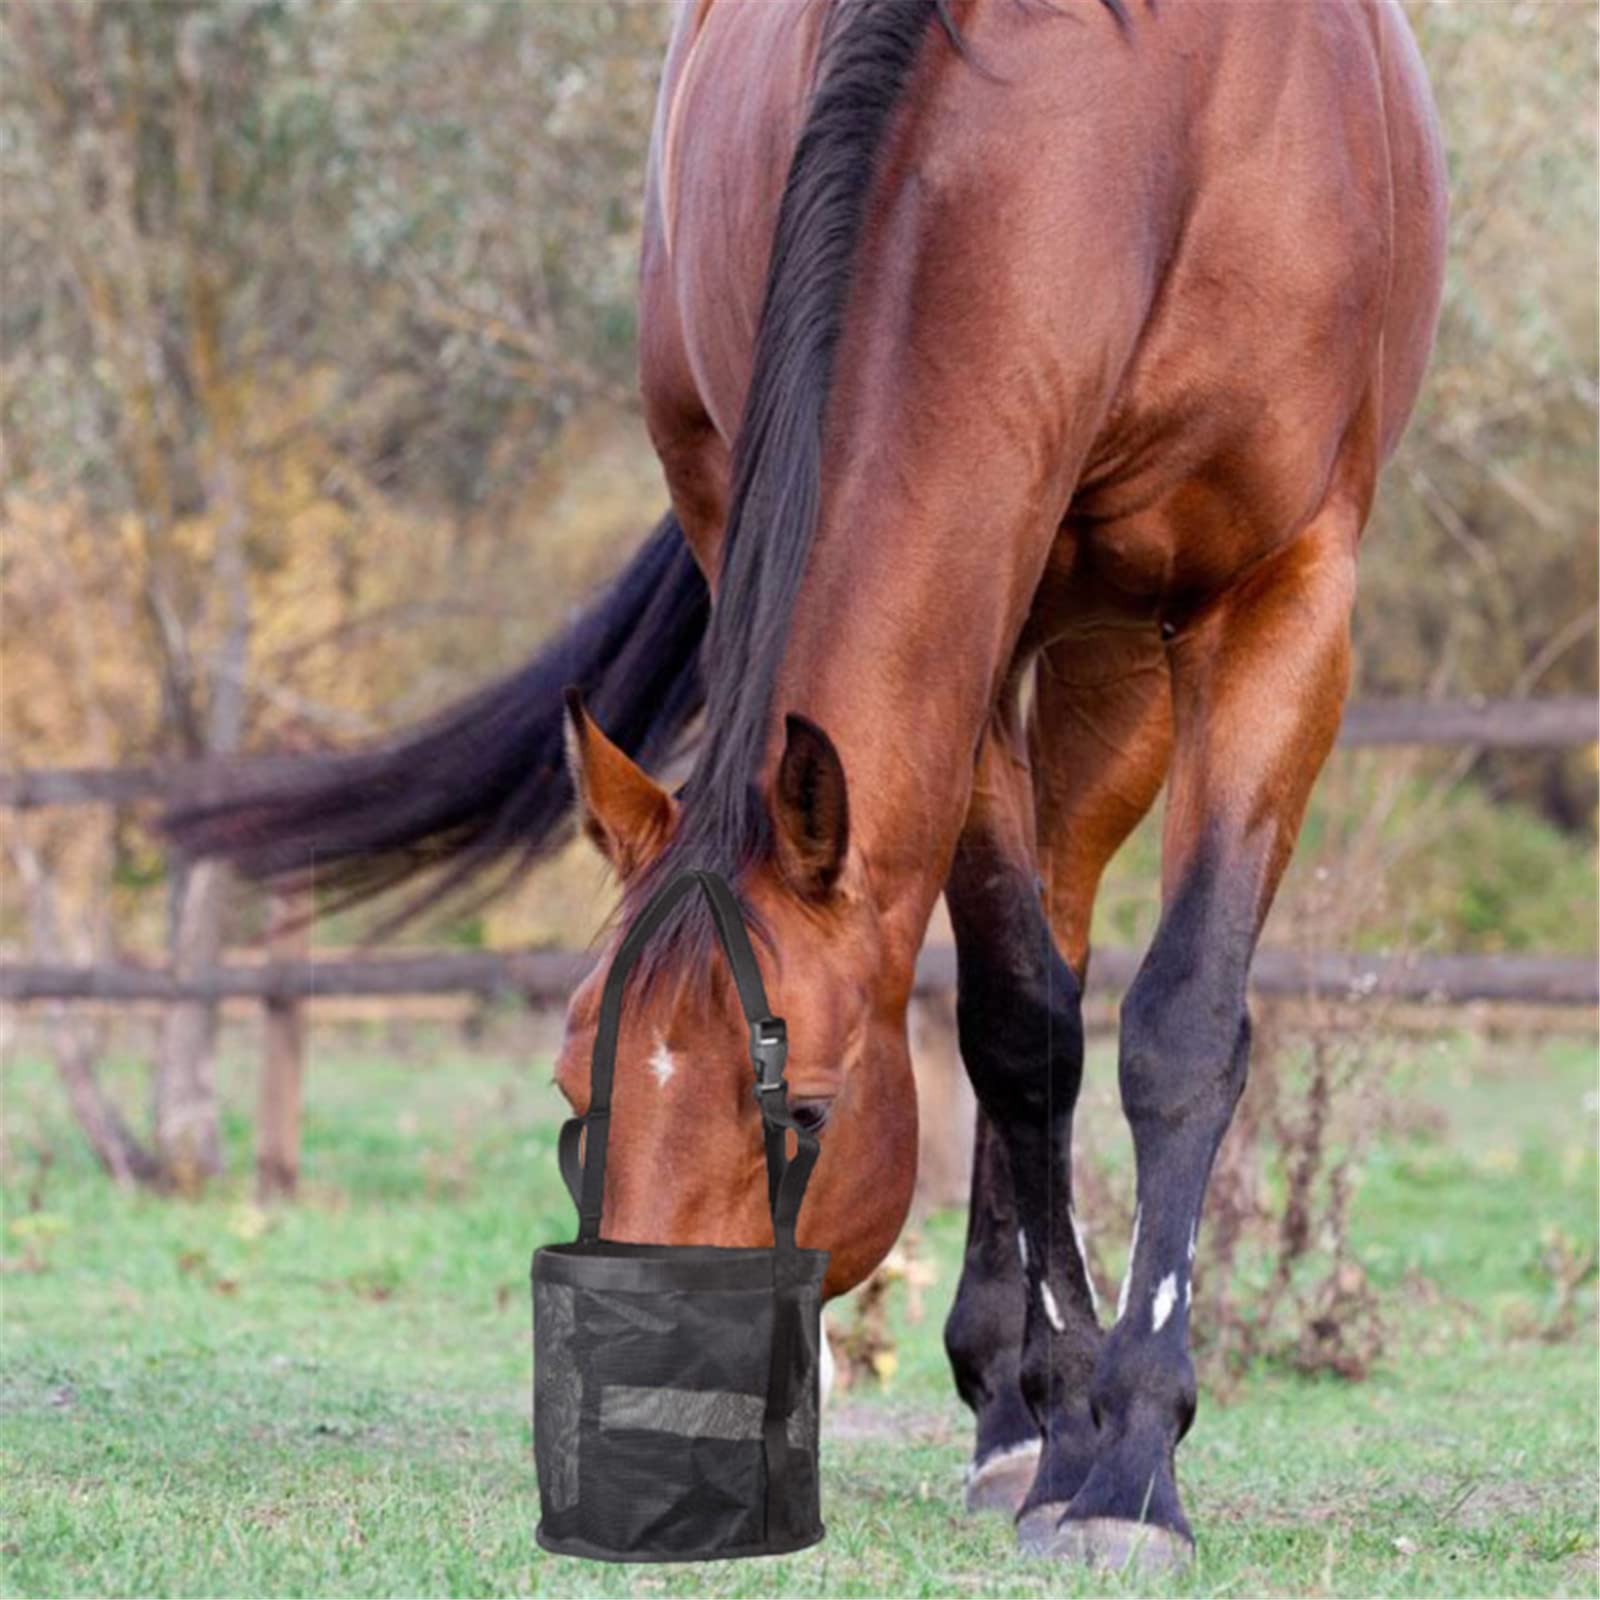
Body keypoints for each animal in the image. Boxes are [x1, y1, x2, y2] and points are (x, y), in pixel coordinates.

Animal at [167, 0, 1447, 1568]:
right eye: (573, 1093)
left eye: (809, 1117)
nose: (655, 1445)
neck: (1129, 117)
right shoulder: (972, 623)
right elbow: (1018, 1030)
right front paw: (1050, 1409)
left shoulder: (1281, 597)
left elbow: (1182, 1029)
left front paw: (1129, 1463)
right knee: (1038, 963)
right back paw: (1018, 1406)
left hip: (1119, 662)